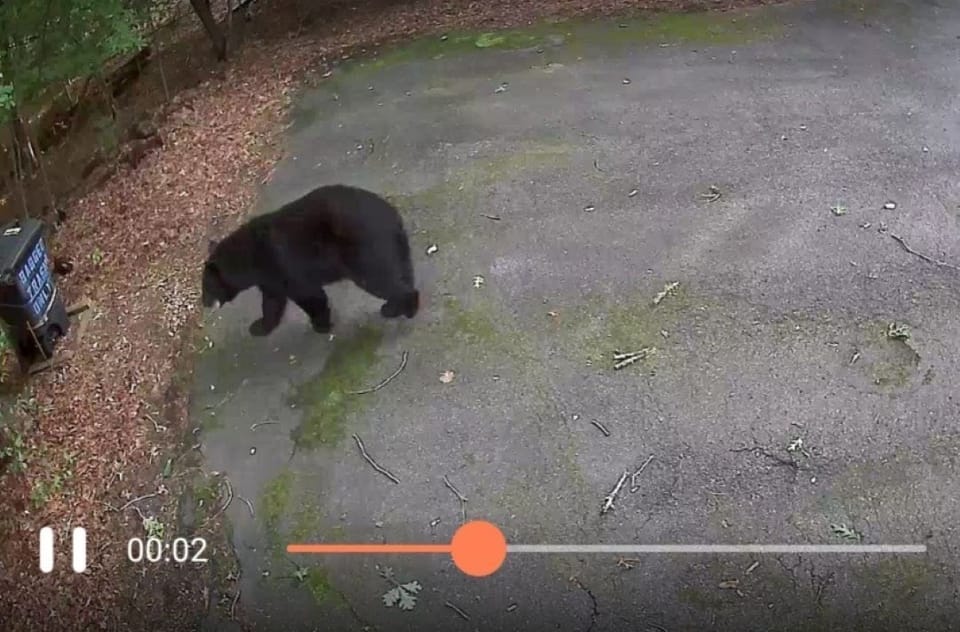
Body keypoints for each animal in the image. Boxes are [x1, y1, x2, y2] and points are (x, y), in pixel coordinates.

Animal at [201, 184, 419, 337]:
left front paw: (320, 324)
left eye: (206, 286)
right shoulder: (269, 277)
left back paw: (400, 307)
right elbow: (273, 301)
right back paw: (396, 305)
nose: (204, 303)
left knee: (379, 279)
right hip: (396, 248)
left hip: (364, 249)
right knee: (401, 271)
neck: (249, 260)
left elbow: (308, 294)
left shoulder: (280, 263)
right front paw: (259, 327)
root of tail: (392, 215)